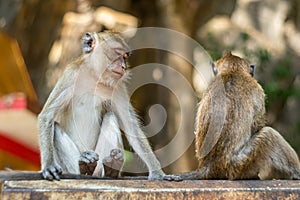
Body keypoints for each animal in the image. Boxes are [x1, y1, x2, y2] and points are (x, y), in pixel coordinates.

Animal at [38, 30, 180, 181]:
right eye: (118, 54)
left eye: (125, 57)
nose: (123, 67)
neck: (95, 77)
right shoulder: (70, 75)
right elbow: (47, 116)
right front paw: (49, 166)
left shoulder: (118, 88)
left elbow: (131, 127)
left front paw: (158, 173)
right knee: (55, 128)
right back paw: (83, 166)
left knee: (111, 117)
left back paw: (109, 168)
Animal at [179, 51, 300, 180]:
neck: (232, 71)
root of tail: (208, 167)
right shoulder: (257, 90)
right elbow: (257, 124)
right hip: (241, 165)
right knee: (269, 134)